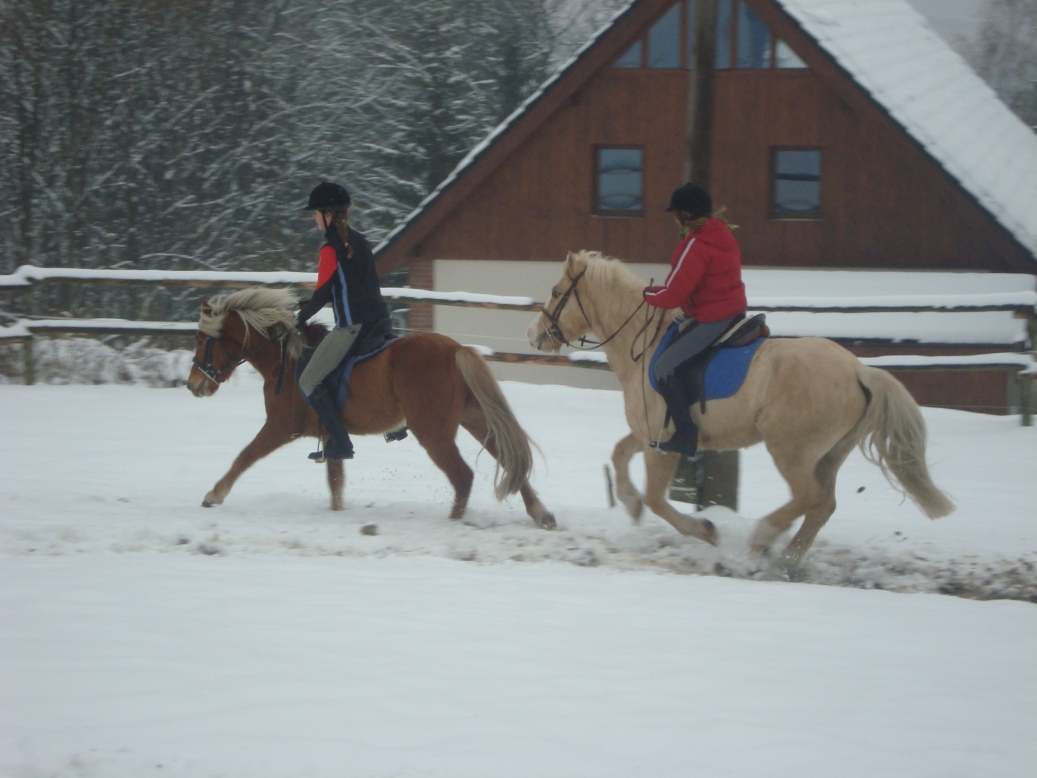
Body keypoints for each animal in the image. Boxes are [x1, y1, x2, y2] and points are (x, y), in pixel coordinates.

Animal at [186, 286, 559, 531]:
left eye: (202, 341)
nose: (193, 385)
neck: (286, 361)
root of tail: (456, 349)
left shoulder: (280, 427)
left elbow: (244, 456)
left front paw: (213, 495)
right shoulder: (332, 437)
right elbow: (336, 483)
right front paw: (337, 514)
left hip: (434, 433)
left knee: (463, 476)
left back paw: (453, 525)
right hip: (474, 419)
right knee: (507, 458)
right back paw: (542, 514)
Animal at [530, 254, 949, 568]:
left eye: (555, 292)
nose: (535, 336)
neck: (644, 345)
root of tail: (859, 370)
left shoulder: (663, 444)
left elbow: (657, 499)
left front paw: (704, 529)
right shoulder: (649, 435)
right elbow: (619, 454)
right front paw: (630, 505)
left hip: (791, 451)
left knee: (809, 498)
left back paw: (762, 538)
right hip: (830, 454)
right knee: (822, 506)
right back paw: (786, 562)